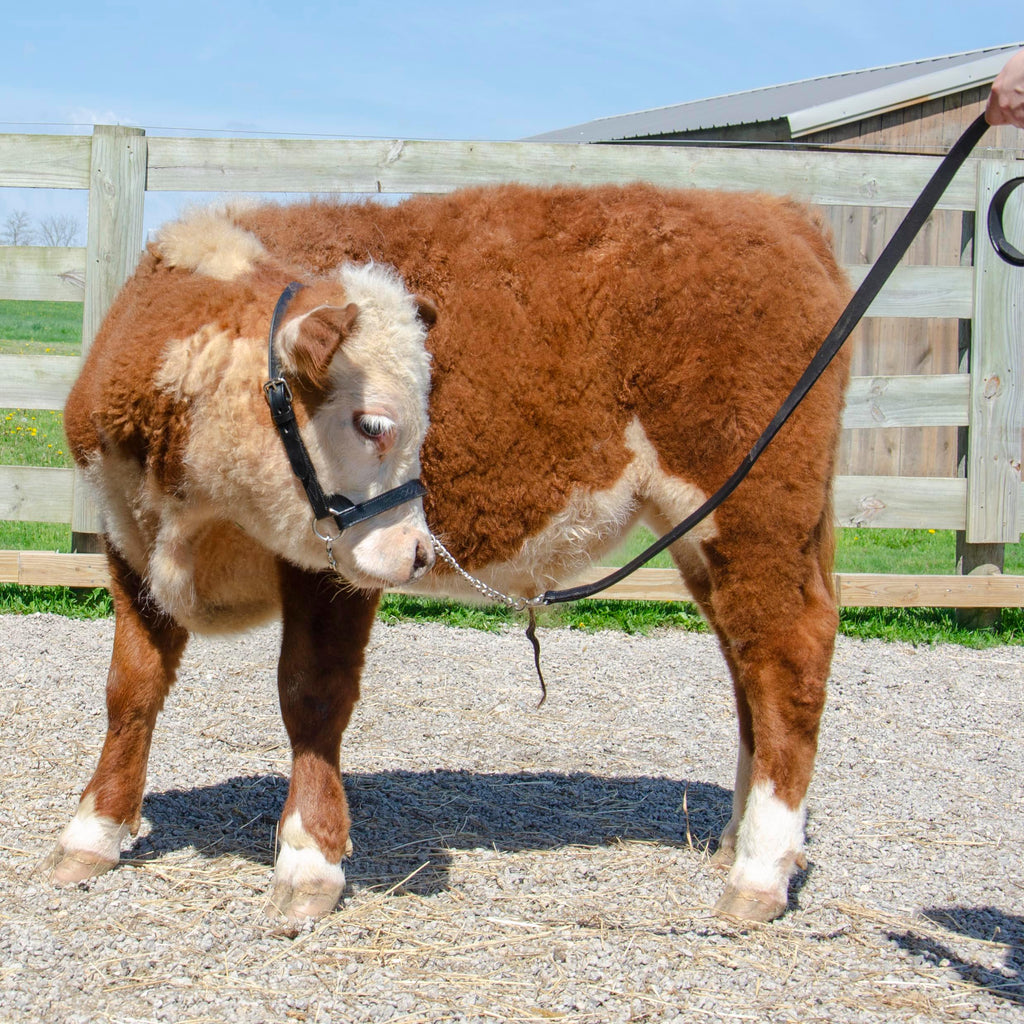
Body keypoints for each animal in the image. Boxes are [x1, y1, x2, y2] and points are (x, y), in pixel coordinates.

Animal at [47, 183, 850, 926]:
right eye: (373, 423)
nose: (418, 550)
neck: (201, 515)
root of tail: (776, 210)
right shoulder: (128, 541)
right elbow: (131, 687)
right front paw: (94, 831)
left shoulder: (329, 567)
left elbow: (311, 694)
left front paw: (308, 860)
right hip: (712, 536)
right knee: (746, 664)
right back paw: (740, 841)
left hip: (757, 510)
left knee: (788, 654)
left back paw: (759, 871)